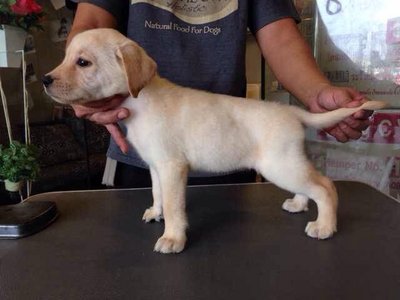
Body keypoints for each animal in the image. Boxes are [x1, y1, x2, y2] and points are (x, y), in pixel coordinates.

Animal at [42, 28, 386, 253]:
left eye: (83, 62)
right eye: (67, 57)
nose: (45, 80)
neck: (141, 99)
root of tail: (292, 111)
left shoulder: (173, 167)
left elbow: (175, 206)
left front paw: (173, 238)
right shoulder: (156, 166)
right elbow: (157, 193)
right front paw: (156, 212)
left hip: (279, 165)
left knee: (325, 187)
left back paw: (325, 226)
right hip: (288, 163)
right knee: (310, 185)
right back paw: (299, 204)